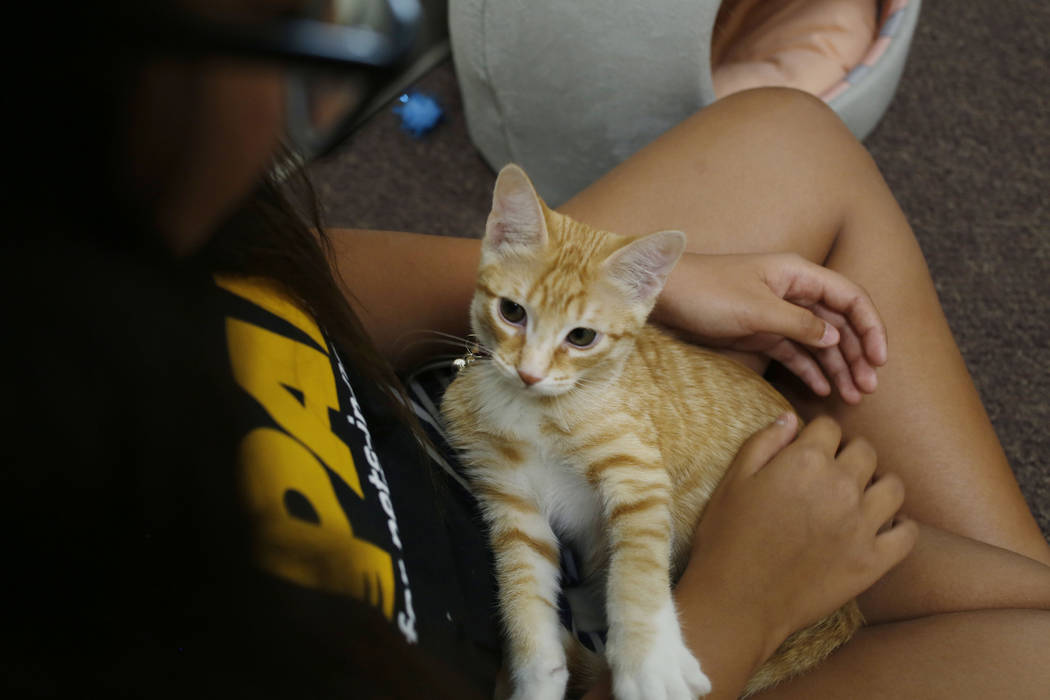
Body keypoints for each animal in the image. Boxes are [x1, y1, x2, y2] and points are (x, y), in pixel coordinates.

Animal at [443, 165, 860, 700]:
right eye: (512, 312)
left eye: (581, 337)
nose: (530, 373)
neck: (533, 409)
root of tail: (847, 612)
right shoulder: (509, 499)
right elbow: (523, 593)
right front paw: (536, 679)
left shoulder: (637, 471)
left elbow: (638, 571)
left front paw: (647, 662)